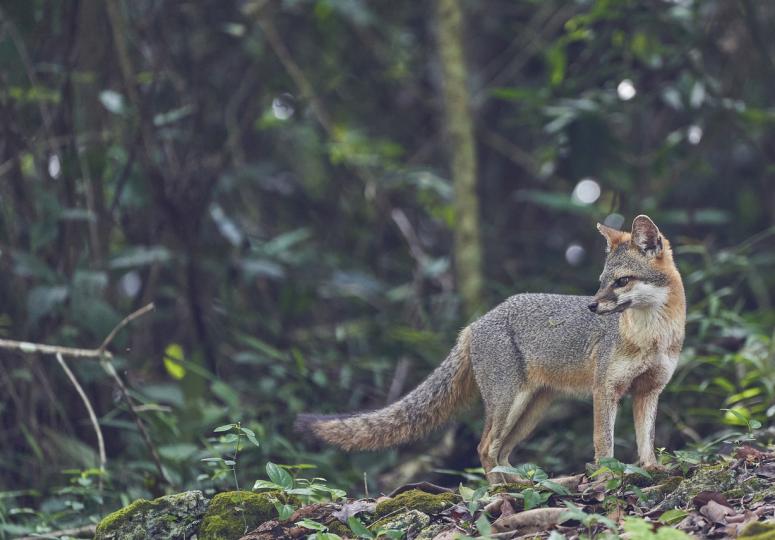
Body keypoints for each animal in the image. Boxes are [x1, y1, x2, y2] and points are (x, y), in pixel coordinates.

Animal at [298, 215, 684, 480]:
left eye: (621, 282)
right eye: (602, 283)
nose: (592, 306)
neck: (652, 336)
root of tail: (475, 324)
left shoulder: (649, 390)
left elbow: (647, 439)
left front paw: (652, 468)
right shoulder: (606, 390)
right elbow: (604, 442)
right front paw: (607, 475)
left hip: (531, 411)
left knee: (500, 453)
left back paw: (516, 485)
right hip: (508, 402)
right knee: (485, 448)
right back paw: (500, 492)